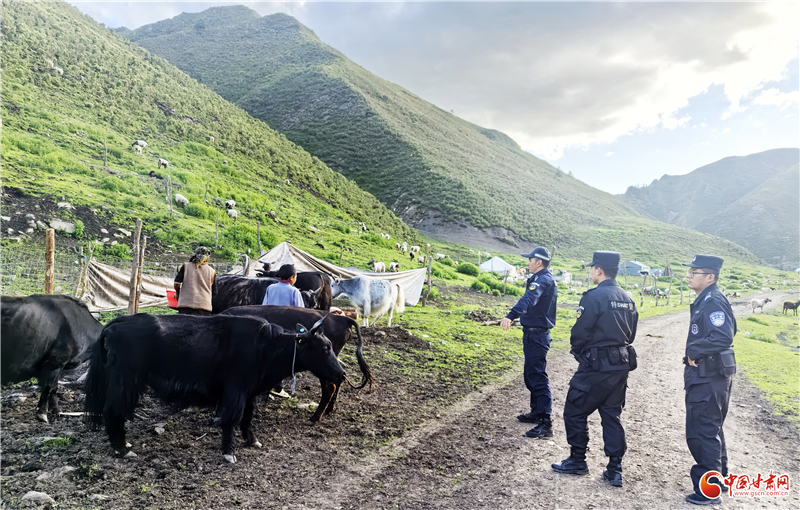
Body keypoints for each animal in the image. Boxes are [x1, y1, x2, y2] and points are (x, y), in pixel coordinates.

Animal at [84, 314, 345, 463]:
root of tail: (113, 325)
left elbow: (248, 417)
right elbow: (232, 418)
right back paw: (122, 449)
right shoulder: (235, 390)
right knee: (113, 412)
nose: (342, 374)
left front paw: (252, 441)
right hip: (125, 382)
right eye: (324, 348)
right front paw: (229, 452)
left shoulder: (249, 392)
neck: (266, 346)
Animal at [221, 306, 373, 424]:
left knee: (329, 388)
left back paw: (314, 418)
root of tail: (341, 318)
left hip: (323, 368)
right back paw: (329, 409)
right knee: (338, 382)